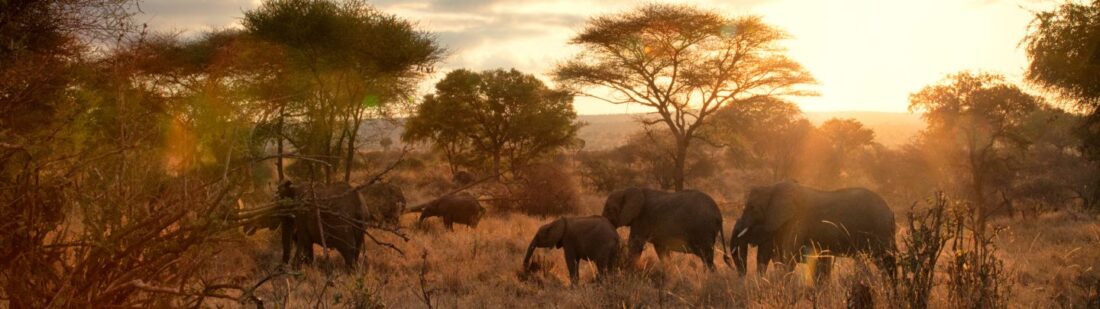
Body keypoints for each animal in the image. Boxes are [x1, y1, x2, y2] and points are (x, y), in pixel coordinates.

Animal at [602, 184, 730, 269]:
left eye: (609, 210)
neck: (627, 190)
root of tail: (719, 214)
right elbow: (661, 249)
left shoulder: (642, 219)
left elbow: (635, 244)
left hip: (703, 229)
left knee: (706, 257)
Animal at [730, 180, 893, 277]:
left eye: (752, 208)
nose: (742, 276)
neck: (772, 188)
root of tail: (890, 211)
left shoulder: (798, 221)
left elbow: (788, 258)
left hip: (880, 230)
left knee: (886, 261)